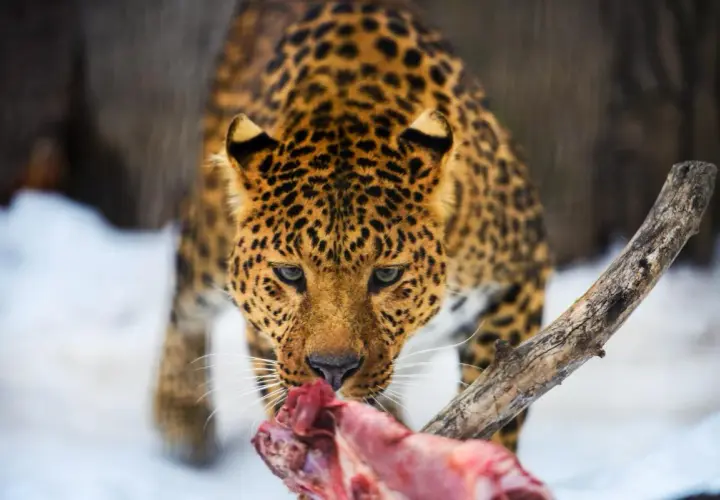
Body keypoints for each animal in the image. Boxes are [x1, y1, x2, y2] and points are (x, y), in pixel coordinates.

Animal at [152, 0, 553, 467]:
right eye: (289, 273)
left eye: (387, 275)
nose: (333, 369)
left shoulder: (521, 275)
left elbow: (501, 395)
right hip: (210, 237)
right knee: (185, 293)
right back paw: (180, 417)